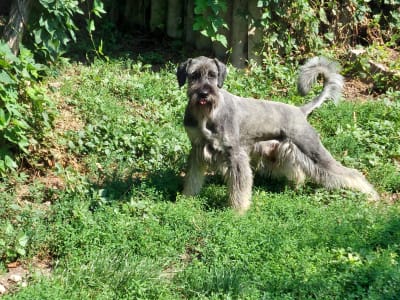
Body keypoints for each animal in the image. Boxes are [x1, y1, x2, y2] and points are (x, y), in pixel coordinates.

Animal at [177, 55, 378, 212]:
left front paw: (237, 211)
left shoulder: (235, 154)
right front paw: (187, 198)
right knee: (298, 171)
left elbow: (239, 187)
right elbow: (192, 177)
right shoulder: (197, 148)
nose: (204, 94)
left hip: (313, 151)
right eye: (193, 75)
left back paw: (370, 195)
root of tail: (300, 111)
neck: (207, 115)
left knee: (352, 173)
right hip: (285, 150)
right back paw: (294, 187)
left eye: (213, 75)